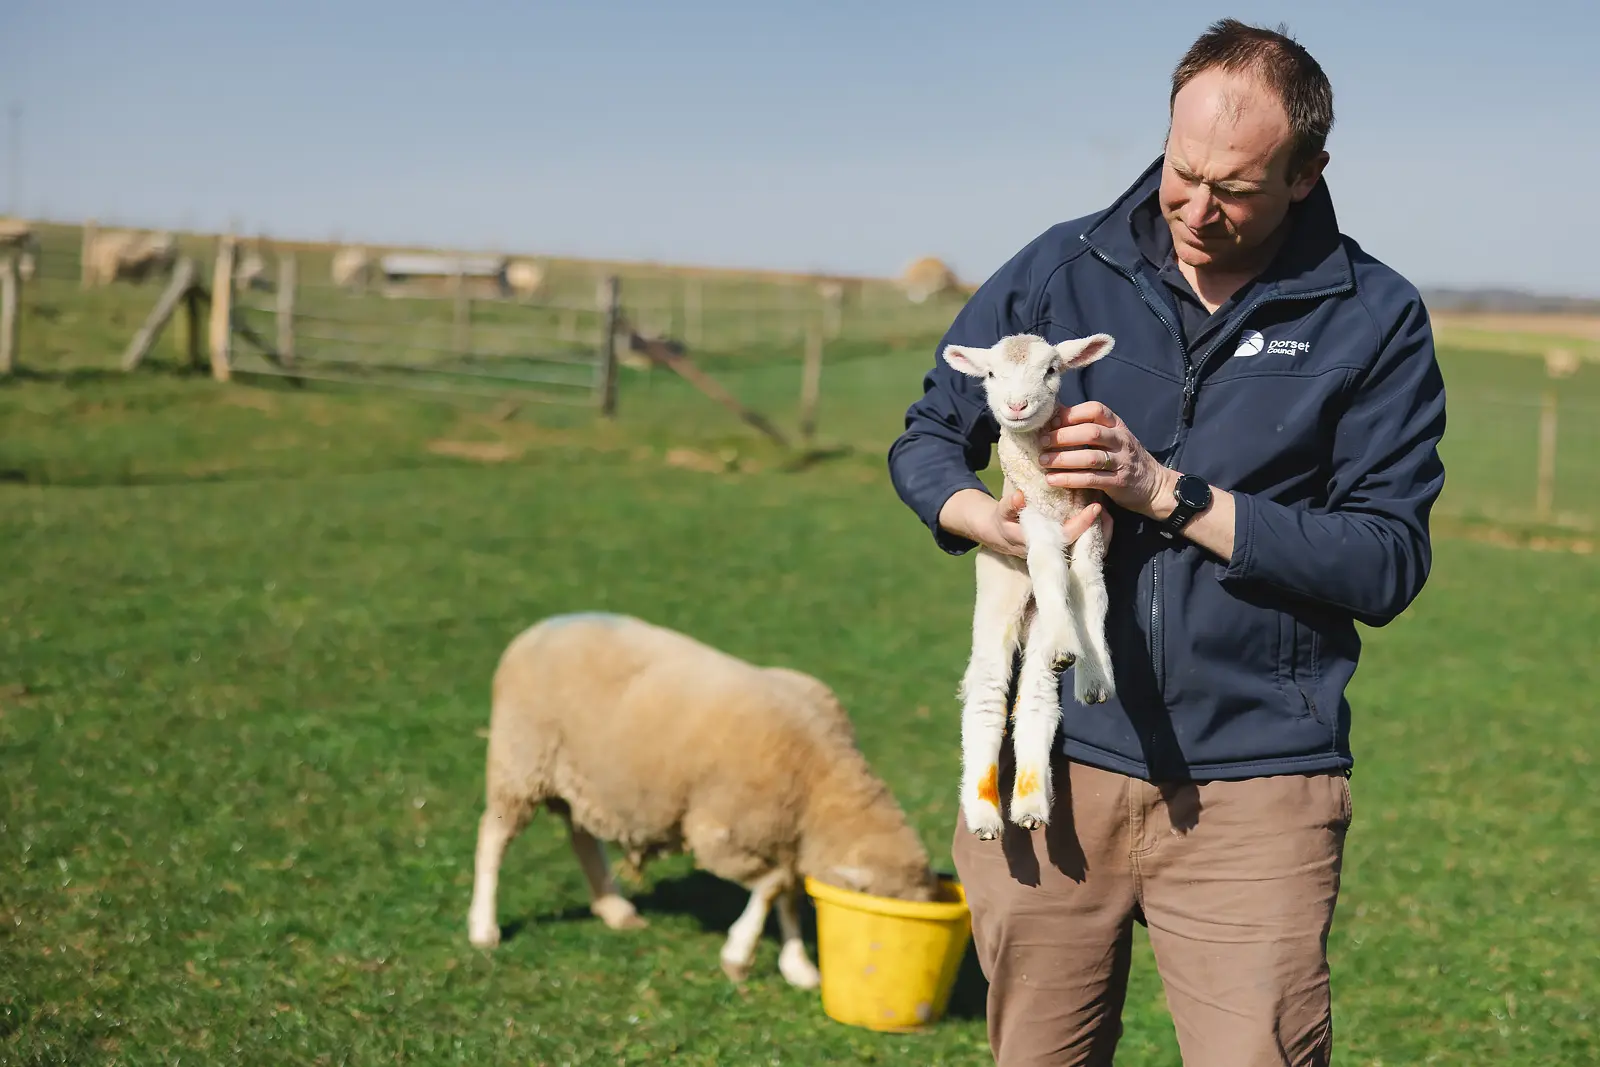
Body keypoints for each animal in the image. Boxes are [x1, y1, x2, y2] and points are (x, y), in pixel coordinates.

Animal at [466, 612, 938, 989]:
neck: (818, 781)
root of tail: (542, 626)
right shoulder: (717, 833)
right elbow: (774, 885)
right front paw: (739, 956)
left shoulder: (786, 839)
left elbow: (786, 892)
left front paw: (797, 966)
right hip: (519, 762)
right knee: (492, 838)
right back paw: (483, 927)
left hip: (583, 780)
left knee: (582, 838)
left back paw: (614, 909)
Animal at [939, 332, 1118, 838]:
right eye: (990, 373)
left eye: (1051, 370)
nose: (1016, 406)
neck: (1050, 494)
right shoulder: (1029, 517)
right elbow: (1048, 565)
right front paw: (1071, 643)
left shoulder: (1090, 521)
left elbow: (1091, 590)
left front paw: (1094, 676)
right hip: (996, 600)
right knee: (986, 696)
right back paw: (984, 815)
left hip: (1032, 632)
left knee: (1037, 697)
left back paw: (1031, 805)